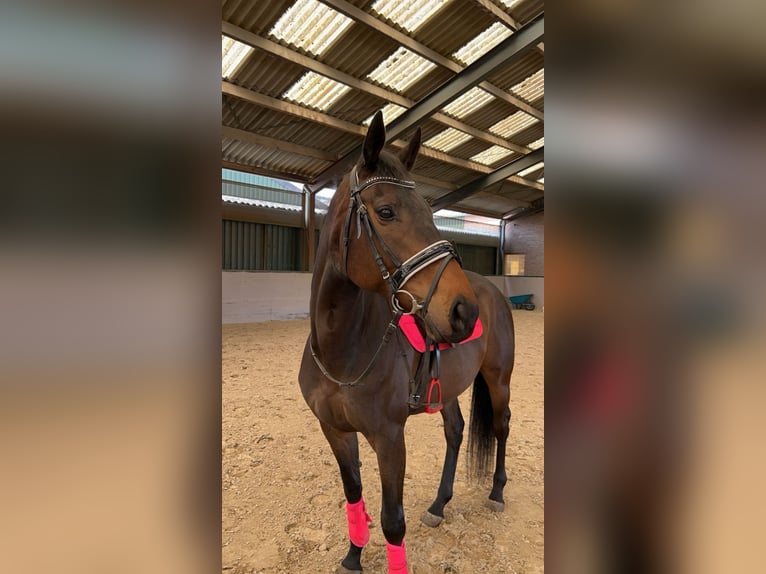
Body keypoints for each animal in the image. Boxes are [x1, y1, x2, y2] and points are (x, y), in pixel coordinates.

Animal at [298, 110, 515, 573]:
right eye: (386, 211)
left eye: (431, 213)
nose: (464, 312)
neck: (343, 352)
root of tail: (489, 291)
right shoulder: (335, 431)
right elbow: (354, 497)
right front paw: (353, 555)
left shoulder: (388, 438)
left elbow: (391, 520)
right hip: (447, 386)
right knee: (455, 431)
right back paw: (438, 504)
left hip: (499, 380)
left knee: (501, 427)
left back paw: (496, 493)